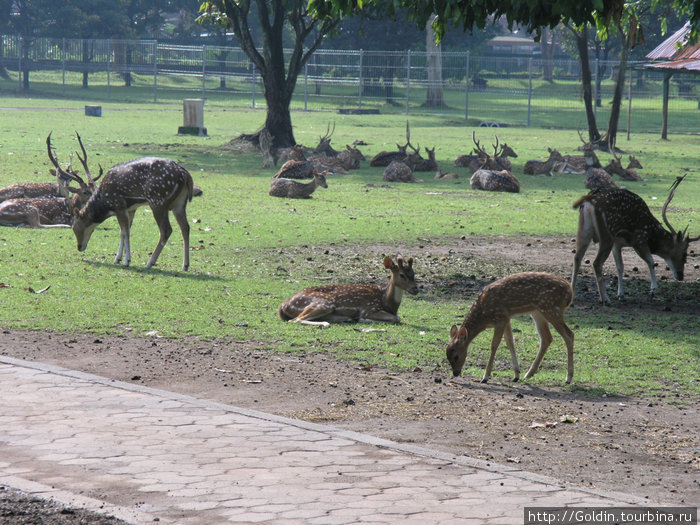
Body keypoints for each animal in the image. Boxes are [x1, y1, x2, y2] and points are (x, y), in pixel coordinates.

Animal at [278, 256, 418, 326]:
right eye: (402, 275)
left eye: (413, 273)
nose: (416, 289)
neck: (385, 301)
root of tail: (284, 305)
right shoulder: (369, 309)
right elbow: (397, 318)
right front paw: (362, 319)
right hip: (324, 303)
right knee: (295, 320)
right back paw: (325, 323)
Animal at [448, 272, 576, 382]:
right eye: (447, 355)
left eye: (456, 356)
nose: (455, 373)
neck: (484, 316)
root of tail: (570, 292)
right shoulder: (506, 318)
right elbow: (510, 342)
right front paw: (516, 375)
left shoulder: (500, 318)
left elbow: (494, 345)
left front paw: (485, 377)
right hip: (538, 312)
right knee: (547, 338)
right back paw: (528, 374)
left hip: (552, 309)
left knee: (569, 334)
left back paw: (568, 378)